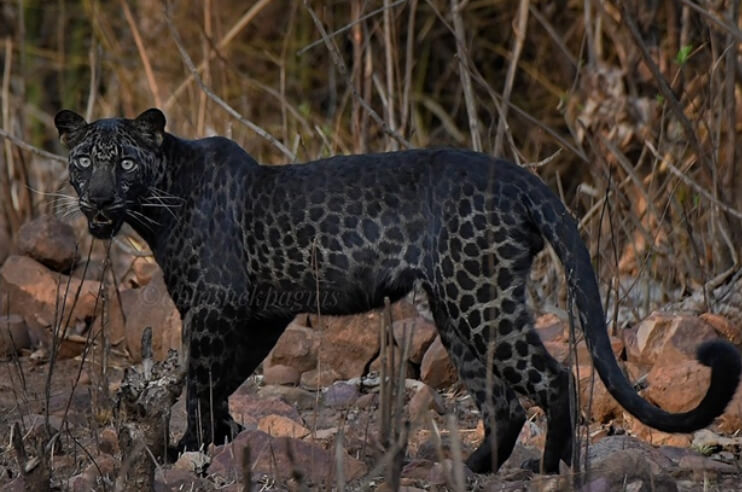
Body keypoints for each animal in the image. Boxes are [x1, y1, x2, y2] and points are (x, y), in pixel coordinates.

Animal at [53, 107, 742, 472]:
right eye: (84, 160)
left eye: (126, 162)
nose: (99, 198)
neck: (158, 204)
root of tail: (522, 178)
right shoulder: (256, 315)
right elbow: (221, 380)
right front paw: (218, 442)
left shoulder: (214, 307)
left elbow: (199, 379)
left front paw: (189, 449)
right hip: (456, 309)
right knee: (503, 402)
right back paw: (469, 470)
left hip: (480, 298)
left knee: (554, 378)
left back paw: (552, 470)